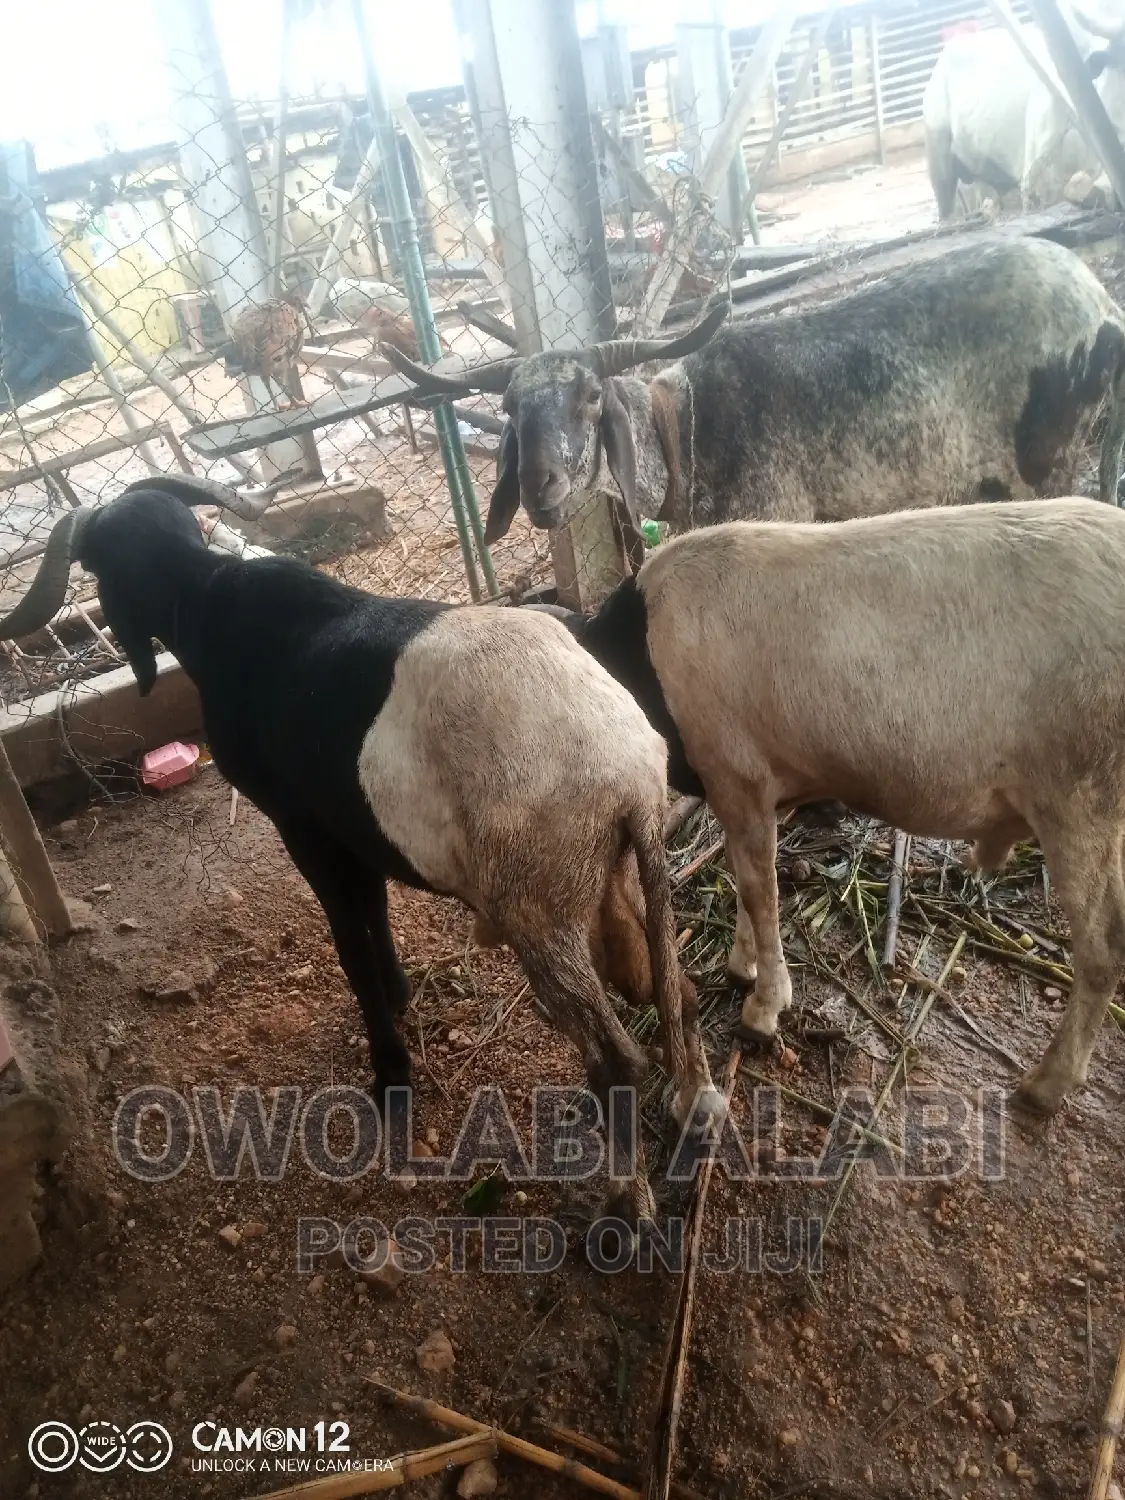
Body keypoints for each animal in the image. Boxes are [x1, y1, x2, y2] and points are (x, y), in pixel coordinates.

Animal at [0, 475, 718, 1222]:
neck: (211, 597)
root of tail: (626, 772)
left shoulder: (302, 824)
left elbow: (349, 943)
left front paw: (390, 1073)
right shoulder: (354, 823)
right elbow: (374, 910)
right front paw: (399, 995)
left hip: (537, 903)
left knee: (615, 1059)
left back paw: (625, 1201)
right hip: (615, 873)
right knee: (678, 990)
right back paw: (694, 1115)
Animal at [385, 238, 1125, 549]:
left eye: (593, 395)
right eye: (510, 408)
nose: (540, 489)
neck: (680, 431)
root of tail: (1100, 303)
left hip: (1055, 463)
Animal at [539, 498, 1125, 1117]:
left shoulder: (738, 773)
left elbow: (760, 889)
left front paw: (763, 1009)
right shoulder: (744, 788)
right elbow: (744, 874)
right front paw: (742, 965)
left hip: (1081, 792)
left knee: (1104, 946)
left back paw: (1047, 1084)